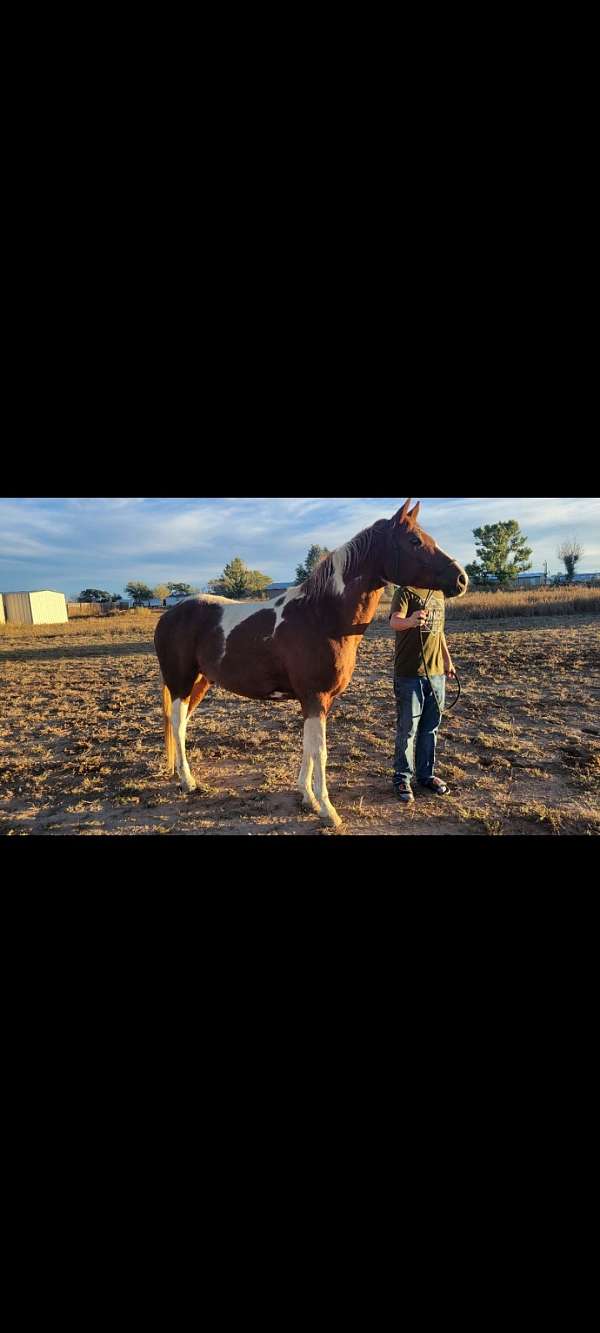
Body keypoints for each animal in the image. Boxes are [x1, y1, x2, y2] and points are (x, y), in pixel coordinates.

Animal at [152, 503, 466, 826]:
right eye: (415, 540)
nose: (461, 579)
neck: (321, 615)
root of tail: (171, 613)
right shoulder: (316, 697)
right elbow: (321, 752)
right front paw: (327, 810)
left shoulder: (315, 700)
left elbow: (308, 747)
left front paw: (308, 797)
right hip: (180, 682)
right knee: (177, 723)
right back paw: (188, 782)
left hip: (200, 682)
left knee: (182, 724)